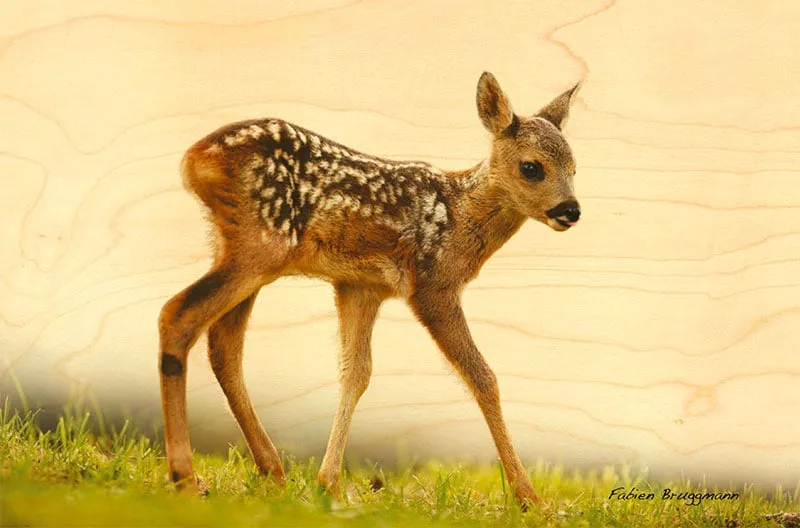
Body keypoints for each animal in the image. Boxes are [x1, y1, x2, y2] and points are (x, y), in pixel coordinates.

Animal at [158, 71, 581, 508]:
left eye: (574, 168)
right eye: (531, 167)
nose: (571, 210)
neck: (460, 219)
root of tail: (195, 159)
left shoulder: (359, 286)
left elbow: (355, 373)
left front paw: (329, 485)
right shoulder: (432, 286)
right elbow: (483, 377)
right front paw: (530, 499)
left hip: (240, 248)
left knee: (223, 346)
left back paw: (271, 471)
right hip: (262, 244)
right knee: (179, 314)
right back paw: (185, 478)